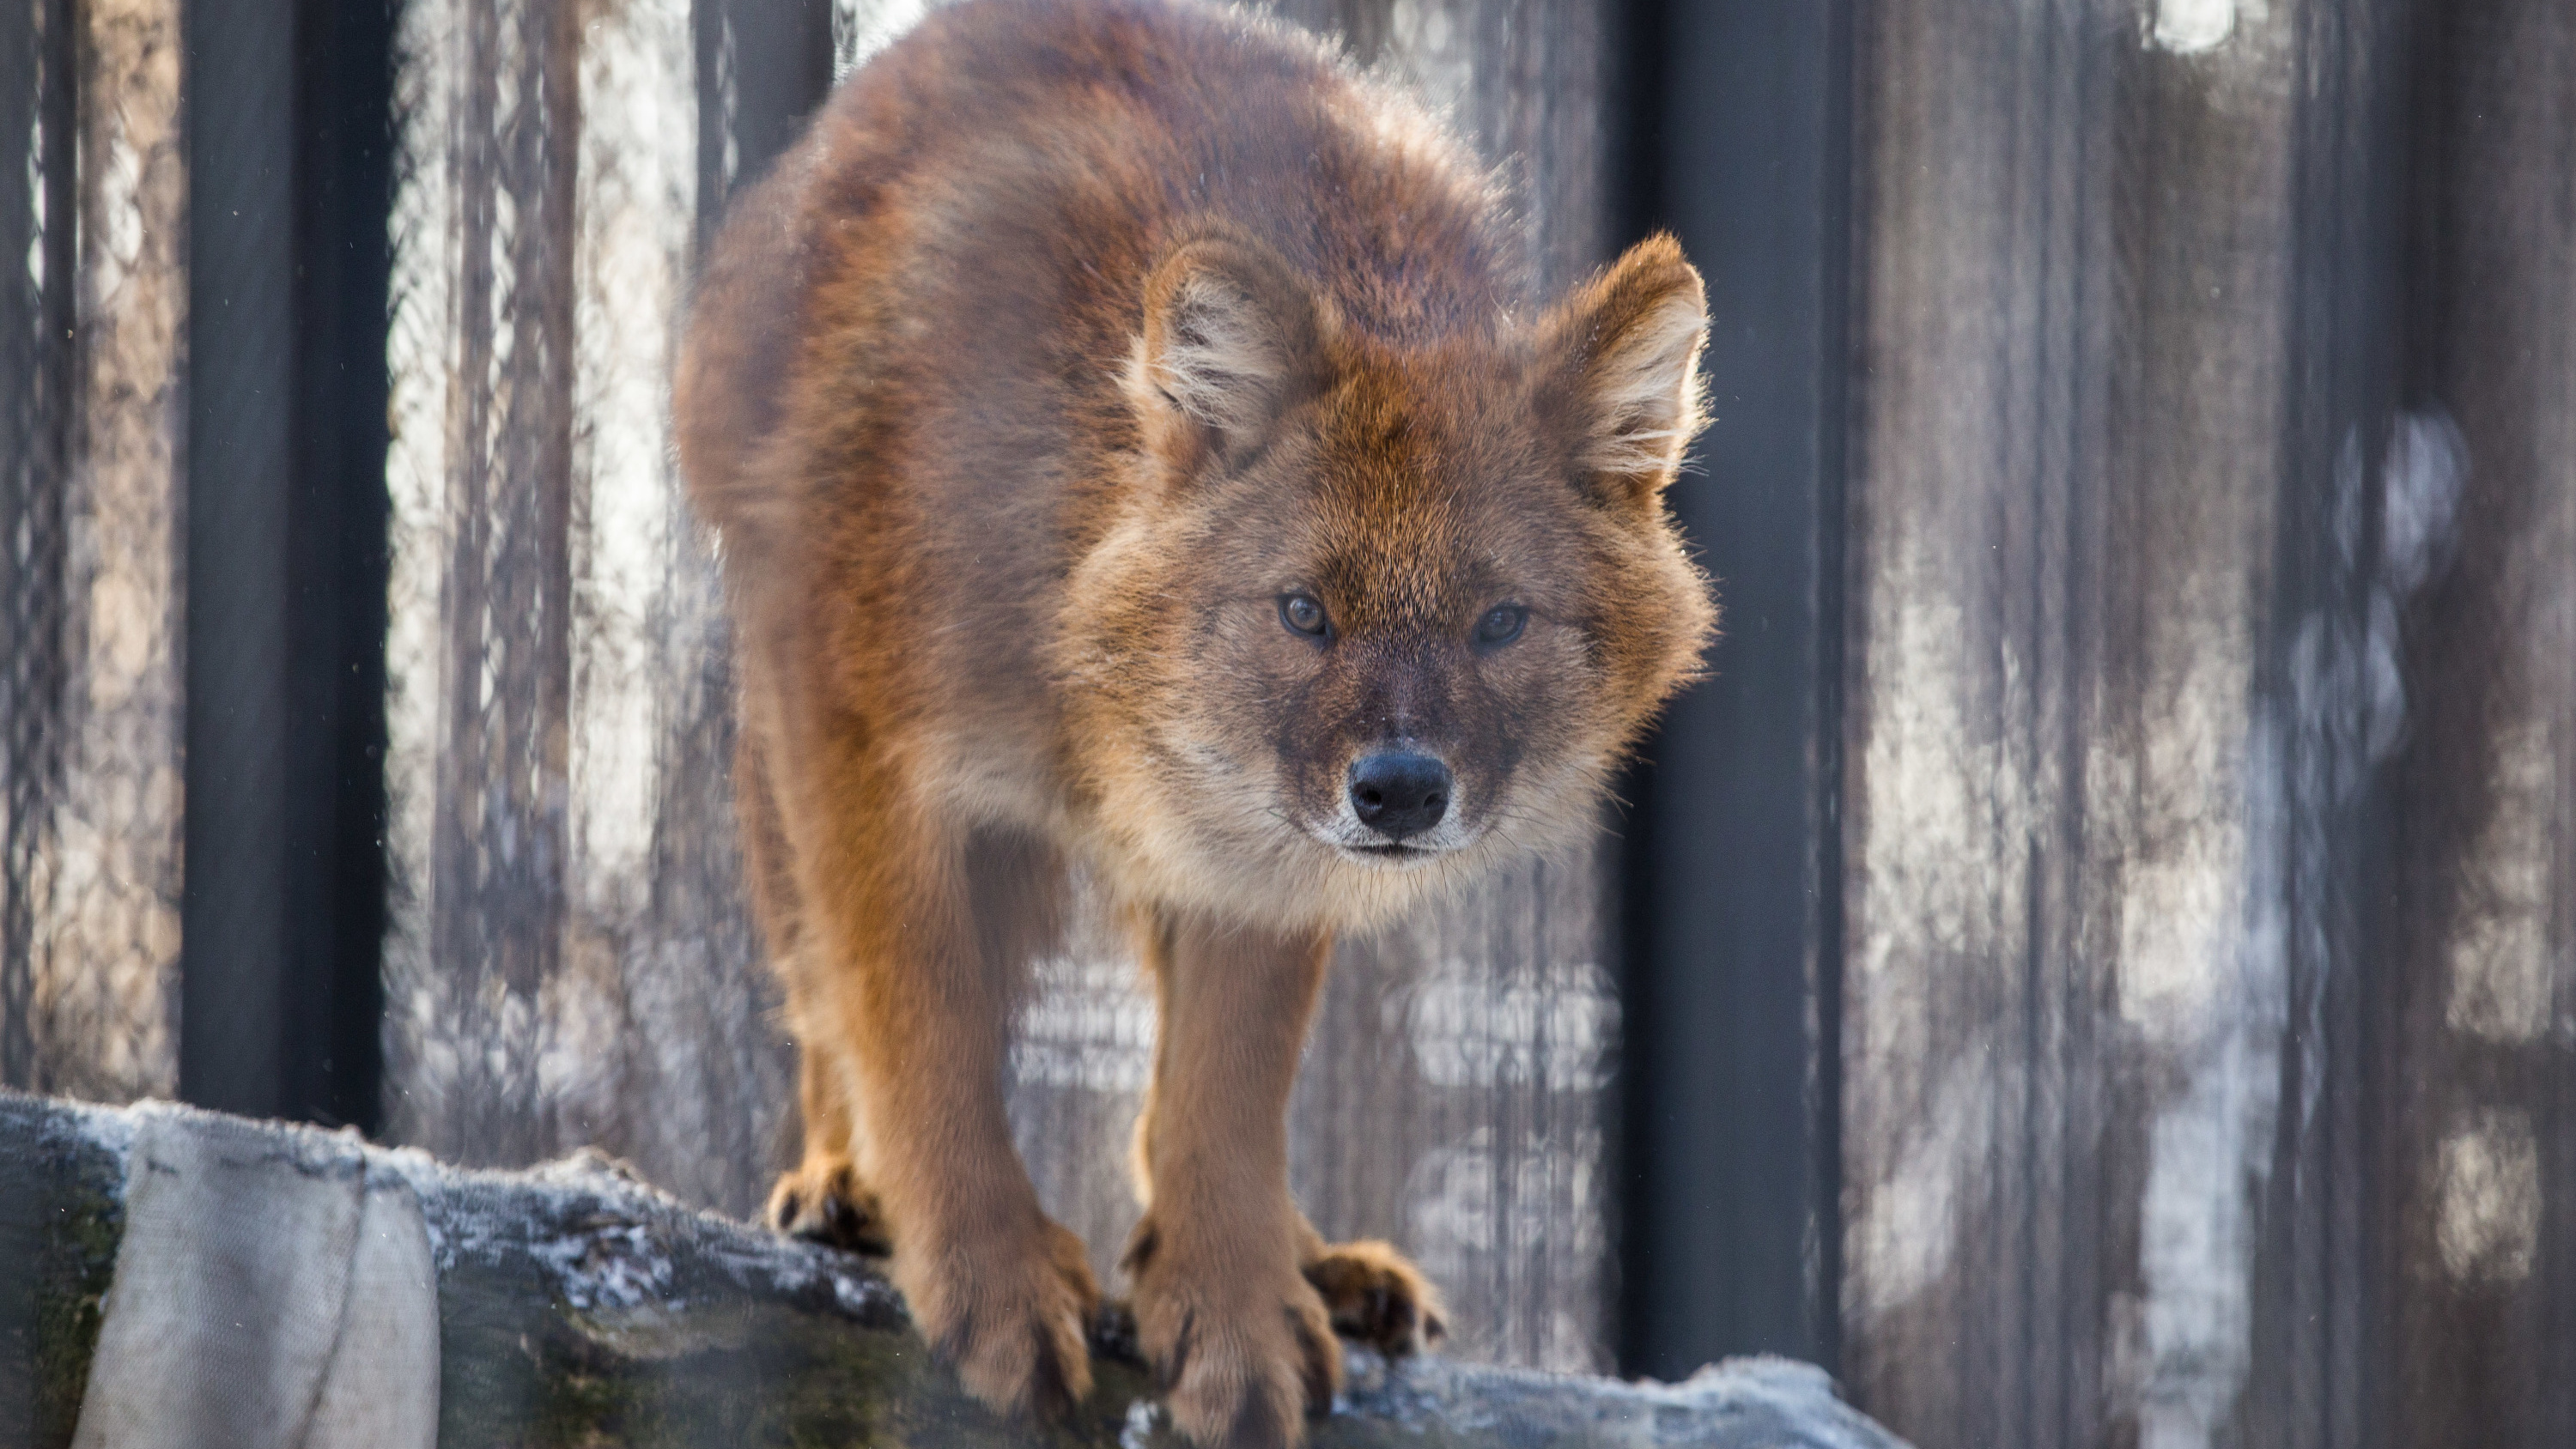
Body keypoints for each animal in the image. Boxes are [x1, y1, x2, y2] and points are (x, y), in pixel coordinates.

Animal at [675, 0, 1710, 1441]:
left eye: (1500, 622)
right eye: (1304, 610)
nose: (1402, 789)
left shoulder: (1257, 837)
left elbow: (1226, 1085)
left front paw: (1230, 1310)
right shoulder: (855, 728)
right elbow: (915, 1013)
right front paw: (987, 1271)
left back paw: (1318, 1264)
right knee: (827, 995)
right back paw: (845, 1185)